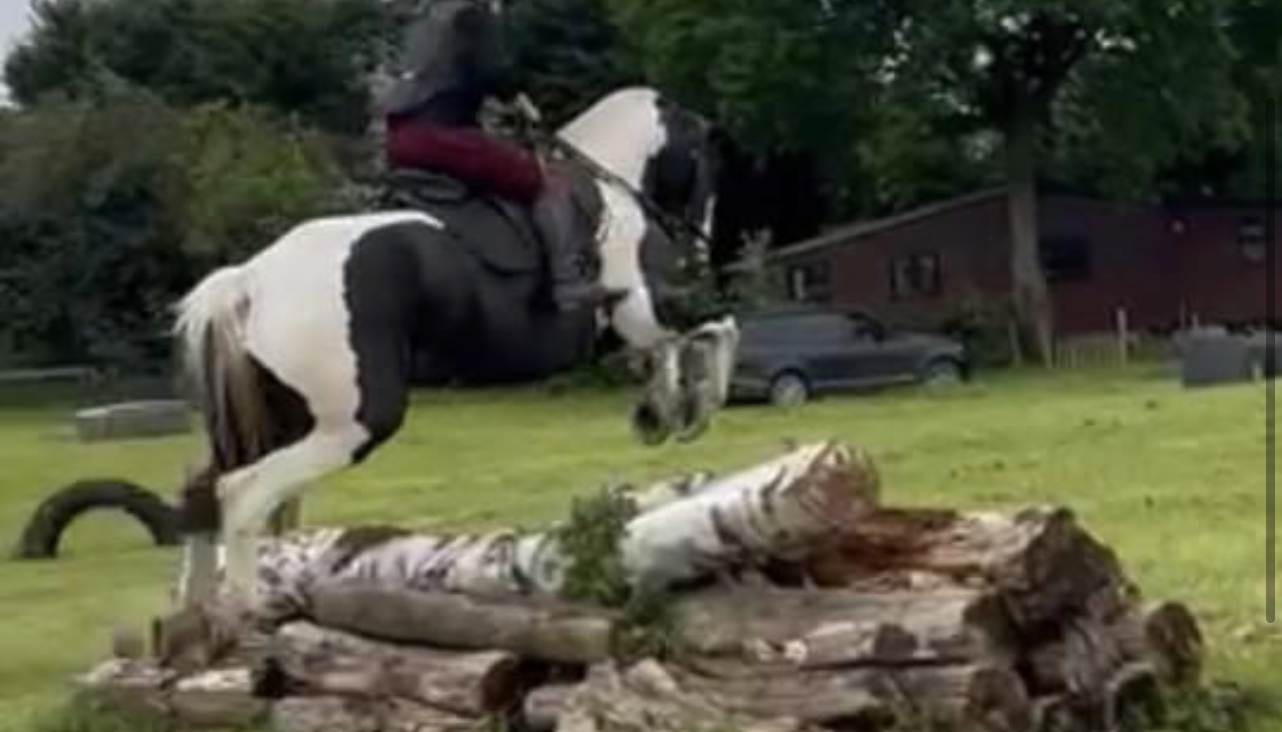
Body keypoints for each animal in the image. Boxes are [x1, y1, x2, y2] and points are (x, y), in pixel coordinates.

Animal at [173, 84, 743, 612]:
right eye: (708, 172)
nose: (699, 247)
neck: (614, 192)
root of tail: (249, 280)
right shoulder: (641, 314)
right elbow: (718, 327)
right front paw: (695, 406)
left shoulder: (637, 326)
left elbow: (683, 345)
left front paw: (663, 410)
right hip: (353, 422)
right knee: (242, 495)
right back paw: (248, 614)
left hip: (276, 418)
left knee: (203, 494)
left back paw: (199, 620)